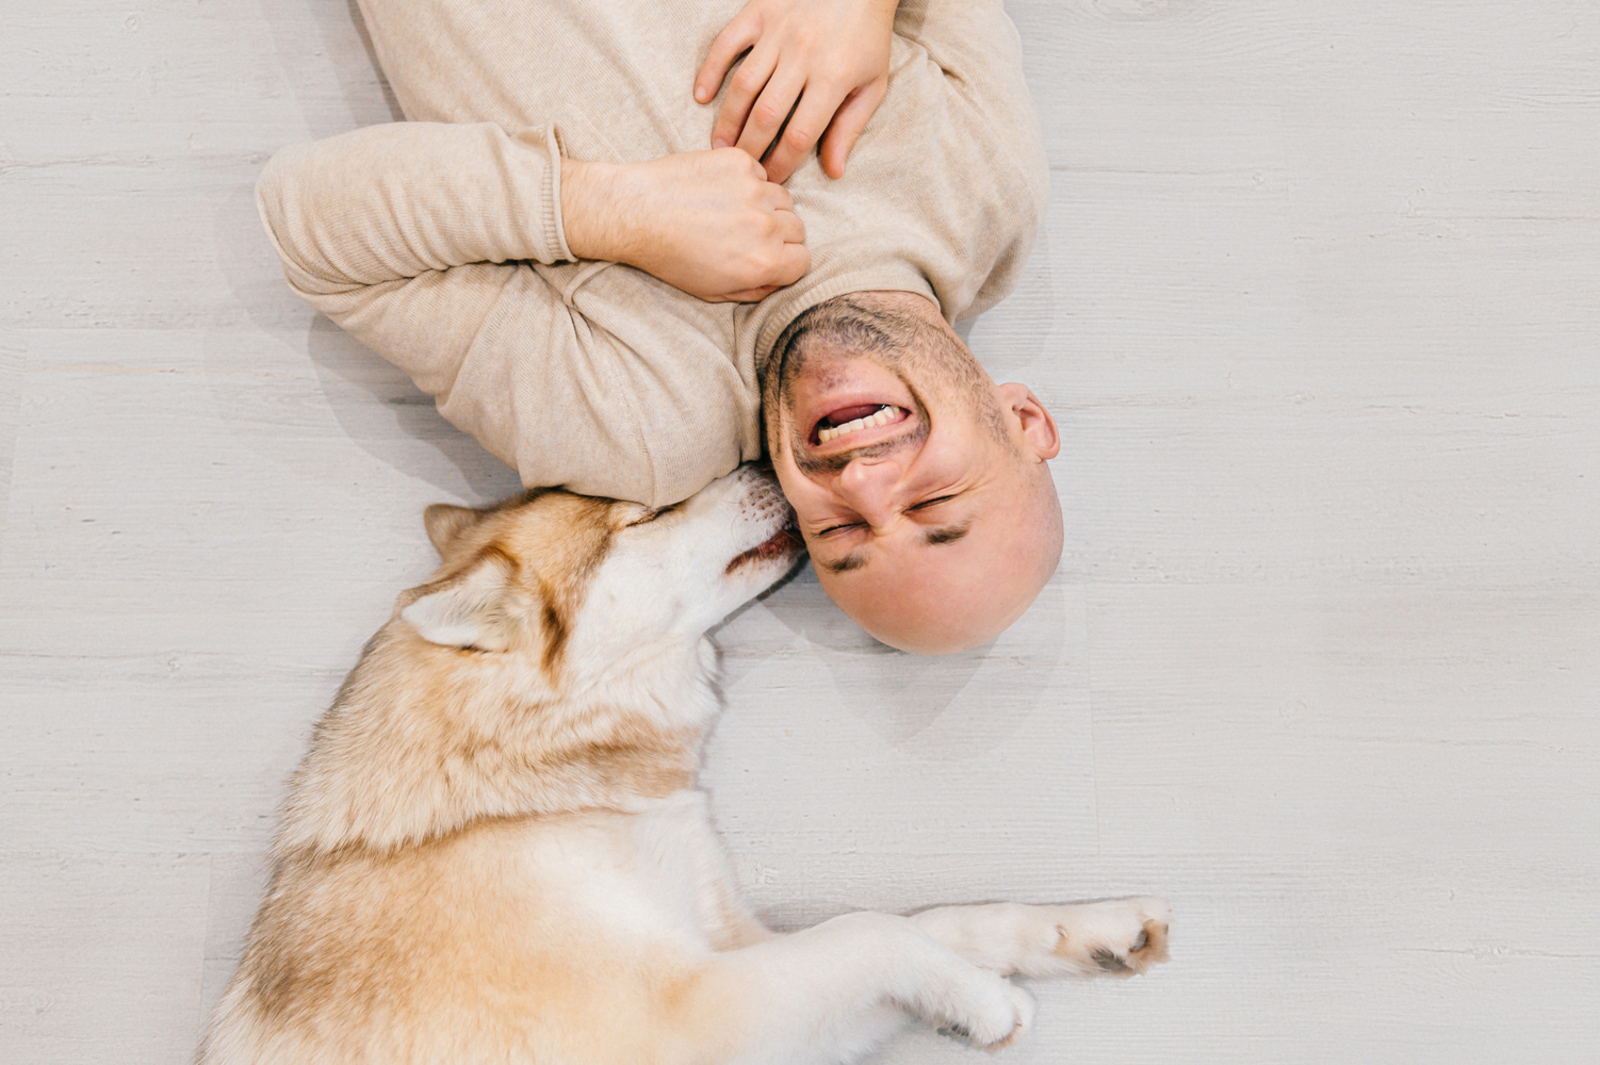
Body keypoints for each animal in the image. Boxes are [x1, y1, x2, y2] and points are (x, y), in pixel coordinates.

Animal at [203, 463, 1177, 1061]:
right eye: (642, 514)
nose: (760, 456)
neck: (523, 793)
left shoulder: (740, 949)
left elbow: (935, 918)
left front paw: (1082, 932)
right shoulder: (695, 1009)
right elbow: (868, 929)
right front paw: (983, 1003)